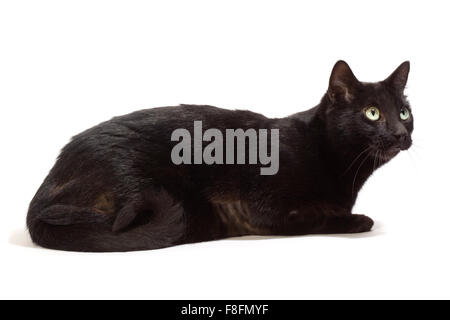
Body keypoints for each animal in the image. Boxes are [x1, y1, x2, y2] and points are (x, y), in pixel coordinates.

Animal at [26, 60, 414, 252]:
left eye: (404, 112)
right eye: (372, 113)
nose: (401, 132)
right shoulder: (264, 209)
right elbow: (317, 217)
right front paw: (356, 220)